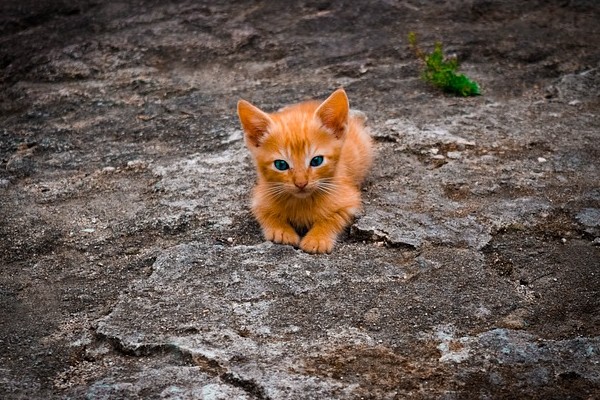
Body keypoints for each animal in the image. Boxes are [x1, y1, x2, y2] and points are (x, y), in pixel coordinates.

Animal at [237, 89, 372, 255]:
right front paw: (282, 231)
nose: (301, 183)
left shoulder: (349, 199)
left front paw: (317, 239)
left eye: (316, 161)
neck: (302, 201)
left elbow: (333, 217)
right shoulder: (260, 198)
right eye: (281, 164)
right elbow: (266, 214)